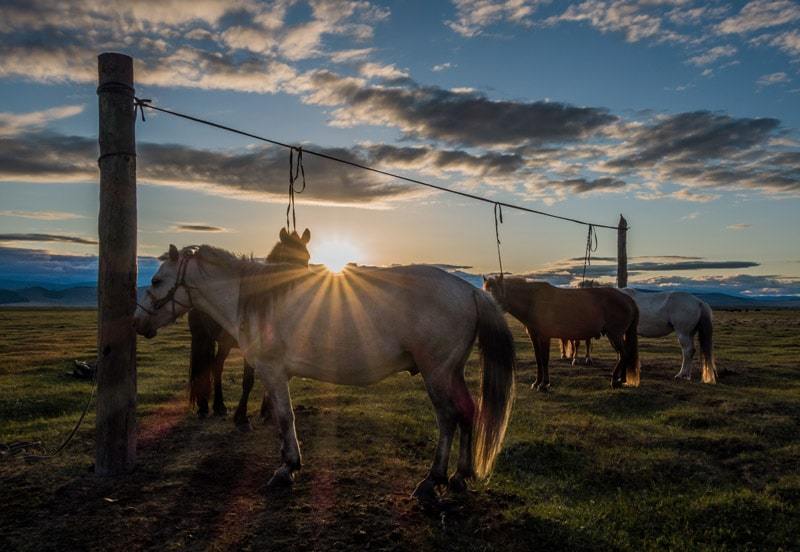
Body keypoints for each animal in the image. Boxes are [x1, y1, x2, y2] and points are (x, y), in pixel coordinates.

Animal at [188, 228, 311, 428]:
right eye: (286, 259)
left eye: (307, 258)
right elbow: (248, 380)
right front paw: (242, 417)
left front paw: (267, 411)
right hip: (202, 337)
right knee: (205, 368)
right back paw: (205, 407)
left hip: (223, 343)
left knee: (216, 366)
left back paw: (219, 406)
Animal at [484, 276, 639, 390]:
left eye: (495, 293)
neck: (534, 301)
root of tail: (628, 299)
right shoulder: (534, 337)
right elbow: (538, 359)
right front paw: (537, 382)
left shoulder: (544, 337)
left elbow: (544, 359)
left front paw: (544, 384)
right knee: (623, 355)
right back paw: (620, 379)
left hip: (615, 335)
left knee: (624, 354)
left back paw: (614, 380)